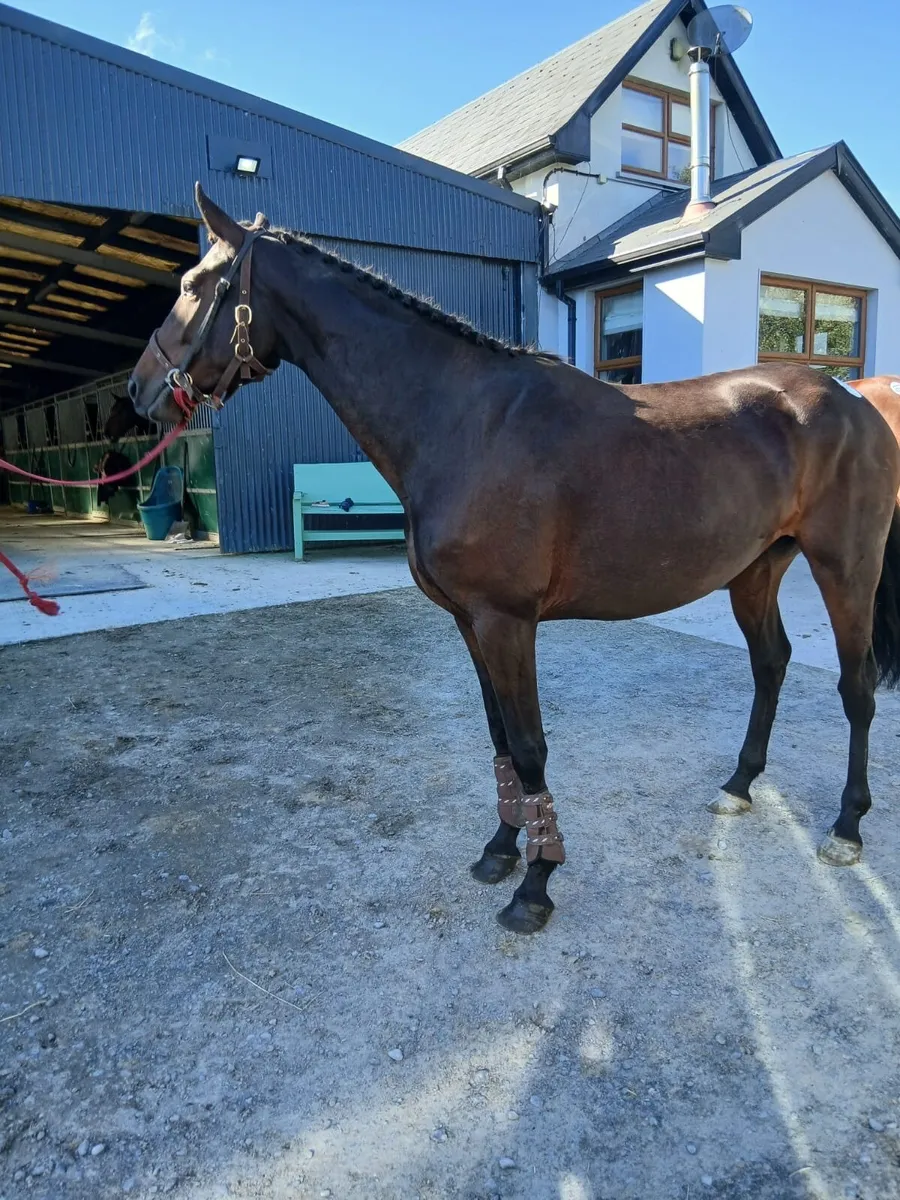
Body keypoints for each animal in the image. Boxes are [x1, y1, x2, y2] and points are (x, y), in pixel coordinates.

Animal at [127, 184, 900, 935]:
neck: (463, 421)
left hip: (845, 566)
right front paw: (500, 850)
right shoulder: (470, 622)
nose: (139, 390)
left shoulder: (507, 621)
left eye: (196, 285)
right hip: (757, 568)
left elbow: (529, 746)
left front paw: (536, 885)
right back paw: (739, 786)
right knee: (771, 663)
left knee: (856, 684)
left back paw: (846, 826)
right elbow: (499, 736)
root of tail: (855, 400)